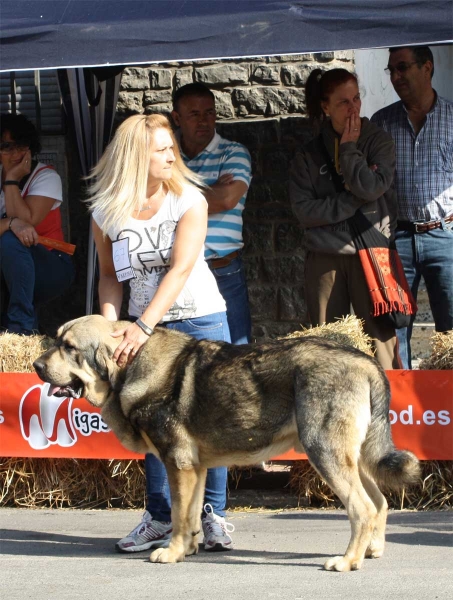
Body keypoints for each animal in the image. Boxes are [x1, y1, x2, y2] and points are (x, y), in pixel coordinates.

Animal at [33, 314, 418, 572]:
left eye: (68, 347)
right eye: (57, 340)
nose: (36, 365)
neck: (131, 368)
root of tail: (366, 361)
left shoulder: (177, 464)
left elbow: (178, 513)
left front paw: (170, 553)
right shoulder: (195, 468)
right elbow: (190, 515)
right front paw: (186, 549)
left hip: (324, 452)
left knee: (361, 508)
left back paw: (348, 560)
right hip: (352, 457)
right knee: (379, 502)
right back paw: (371, 550)